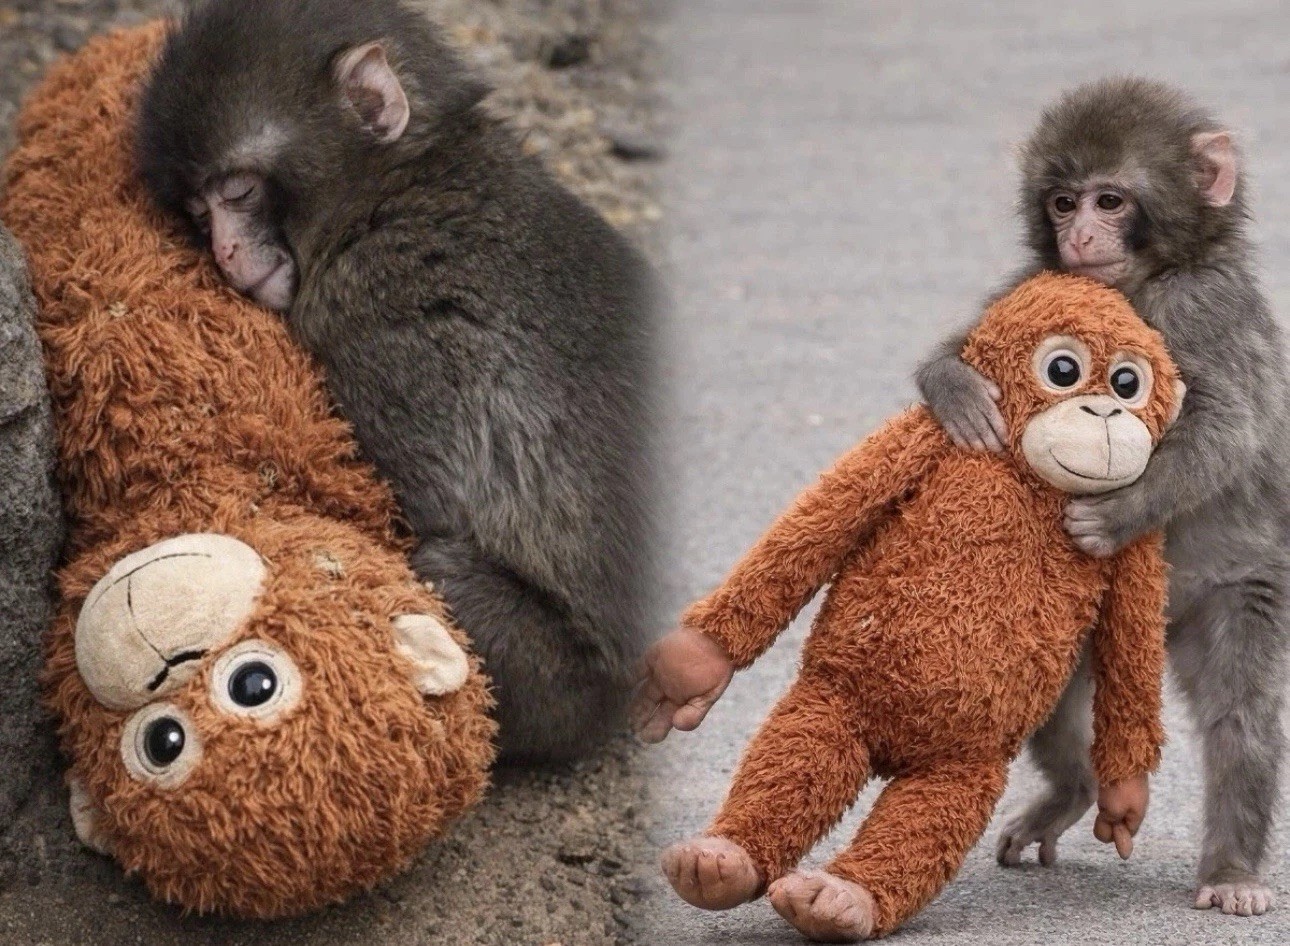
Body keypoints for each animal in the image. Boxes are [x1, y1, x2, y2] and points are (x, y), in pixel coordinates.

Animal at [136, 0, 658, 763]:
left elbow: (424, 509)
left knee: (439, 573)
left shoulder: (379, 325)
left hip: (557, 685)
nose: (226, 252)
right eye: (200, 214)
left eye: (238, 190)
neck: (395, 187)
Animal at [915, 78, 1289, 916]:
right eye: (1061, 202)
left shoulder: (1205, 305)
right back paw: (1078, 788)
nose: (1081, 236)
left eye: (1110, 200)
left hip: (1230, 591)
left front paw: (1115, 514)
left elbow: (1227, 429)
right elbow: (968, 345)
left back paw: (1231, 869)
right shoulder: (1041, 287)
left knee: (1239, 717)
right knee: (1050, 699)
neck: (1143, 282)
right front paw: (955, 387)